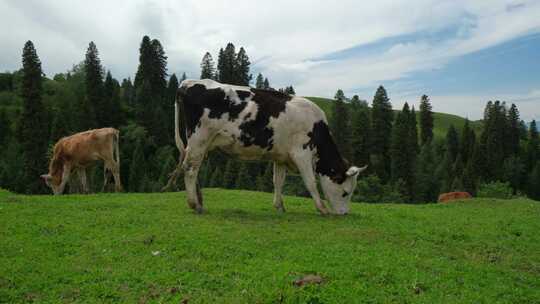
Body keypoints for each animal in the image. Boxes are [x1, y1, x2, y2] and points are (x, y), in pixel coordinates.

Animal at [175, 79, 364, 215]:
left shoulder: (280, 156)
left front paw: (279, 206)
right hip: (199, 137)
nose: (344, 213)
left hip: (199, 142)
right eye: (345, 192)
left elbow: (278, 181)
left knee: (193, 168)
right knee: (190, 168)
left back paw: (198, 202)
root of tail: (188, 83)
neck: (316, 127)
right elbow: (310, 182)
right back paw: (194, 204)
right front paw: (322, 209)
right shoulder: (301, 153)